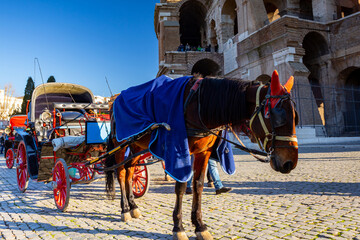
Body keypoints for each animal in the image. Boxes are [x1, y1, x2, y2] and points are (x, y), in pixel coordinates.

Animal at [105, 70, 300, 239]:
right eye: (277, 115)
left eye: (295, 116)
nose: (289, 162)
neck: (199, 106)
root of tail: (114, 101)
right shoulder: (180, 151)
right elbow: (182, 186)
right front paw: (178, 227)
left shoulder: (203, 152)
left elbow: (197, 185)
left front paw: (200, 225)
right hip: (120, 145)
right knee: (120, 173)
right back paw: (124, 209)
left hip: (136, 145)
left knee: (130, 172)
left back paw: (133, 206)